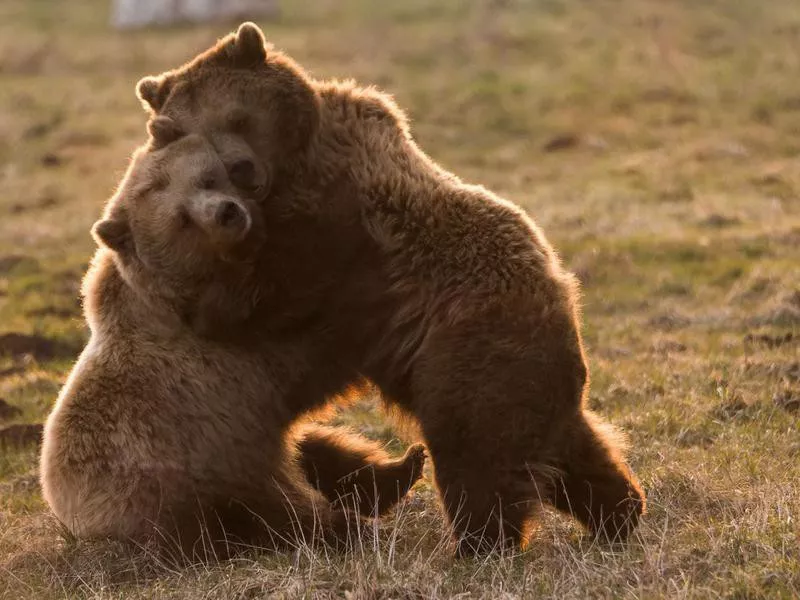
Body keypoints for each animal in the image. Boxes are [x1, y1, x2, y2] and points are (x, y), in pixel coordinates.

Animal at [39, 126, 424, 564]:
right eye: (182, 219)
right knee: (274, 514)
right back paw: (351, 527)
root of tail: (71, 518)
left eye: (207, 179)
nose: (227, 212)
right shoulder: (224, 359)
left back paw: (404, 467)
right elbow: (316, 347)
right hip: (185, 483)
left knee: (319, 451)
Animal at [138, 24, 648, 556]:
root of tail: (563, 316)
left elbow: (278, 286)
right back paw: (619, 512)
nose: (242, 169)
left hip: (469, 357)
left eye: (237, 116)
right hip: (530, 387)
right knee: (576, 456)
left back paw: (477, 544)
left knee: (476, 458)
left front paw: (204, 304)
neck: (295, 160)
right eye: (189, 132)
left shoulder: (340, 227)